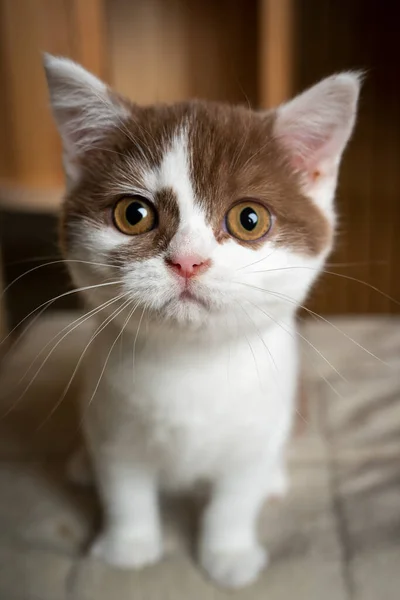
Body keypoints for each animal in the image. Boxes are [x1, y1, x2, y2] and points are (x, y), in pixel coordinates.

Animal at [45, 54, 360, 588]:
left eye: (249, 219)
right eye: (134, 214)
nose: (188, 261)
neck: (190, 362)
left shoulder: (258, 426)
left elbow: (234, 497)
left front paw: (228, 553)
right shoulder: (113, 417)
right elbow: (123, 485)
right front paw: (129, 546)